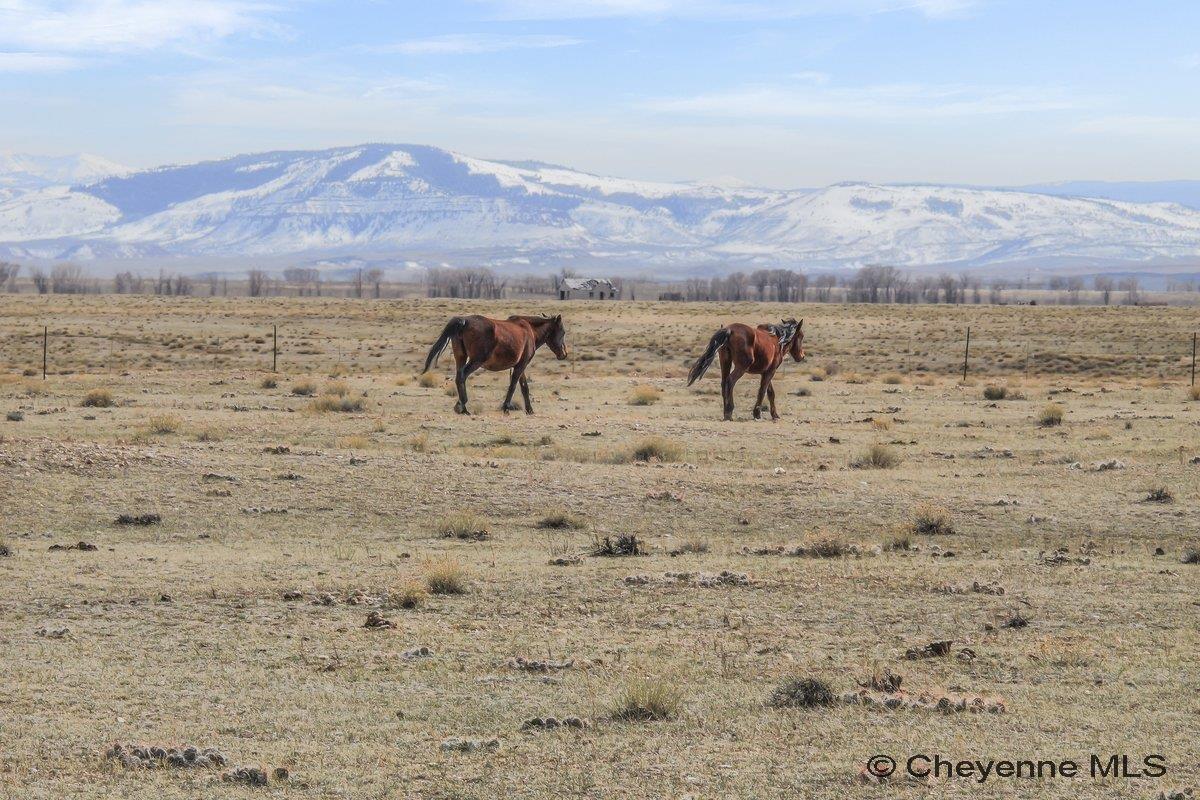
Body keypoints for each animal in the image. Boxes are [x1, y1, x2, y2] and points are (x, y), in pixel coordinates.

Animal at [422, 314, 568, 415]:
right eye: (563, 332)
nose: (564, 354)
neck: (530, 330)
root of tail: (464, 321)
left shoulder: (520, 366)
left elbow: (524, 387)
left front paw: (529, 410)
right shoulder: (521, 365)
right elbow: (513, 386)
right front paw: (506, 407)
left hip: (461, 358)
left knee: (459, 377)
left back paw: (461, 407)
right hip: (476, 361)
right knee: (462, 376)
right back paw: (462, 407)